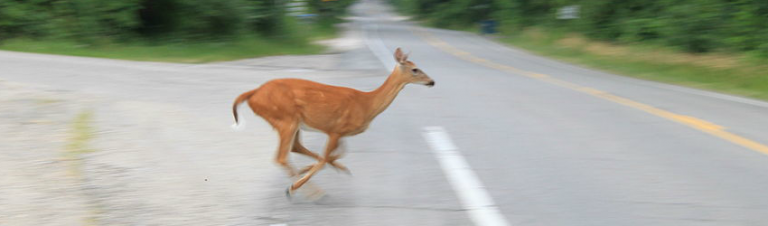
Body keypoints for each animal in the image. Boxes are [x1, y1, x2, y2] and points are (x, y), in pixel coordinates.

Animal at [230, 48, 432, 198]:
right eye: (415, 69)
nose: (432, 81)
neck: (367, 104)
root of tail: (253, 94)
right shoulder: (335, 130)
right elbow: (326, 159)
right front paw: (296, 184)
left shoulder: (340, 132)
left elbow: (337, 154)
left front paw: (329, 168)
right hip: (285, 118)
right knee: (281, 157)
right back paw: (308, 191)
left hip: (293, 122)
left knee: (295, 147)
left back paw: (303, 175)